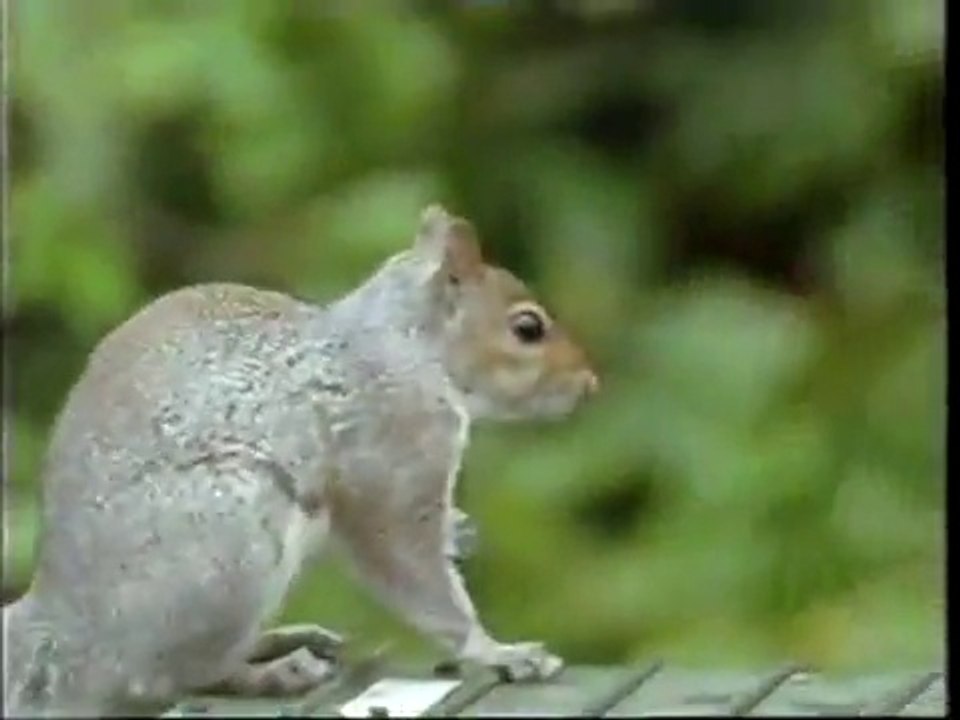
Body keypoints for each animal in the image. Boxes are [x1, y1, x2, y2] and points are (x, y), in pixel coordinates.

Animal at [2, 204, 599, 717]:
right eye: (527, 328)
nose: (590, 383)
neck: (407, 347)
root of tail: (64, 634)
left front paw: (461, 531)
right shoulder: (392, 451)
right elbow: (411, 566)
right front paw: (500, 652)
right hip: (230, 546)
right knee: (167, 677)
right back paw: (275, 672)